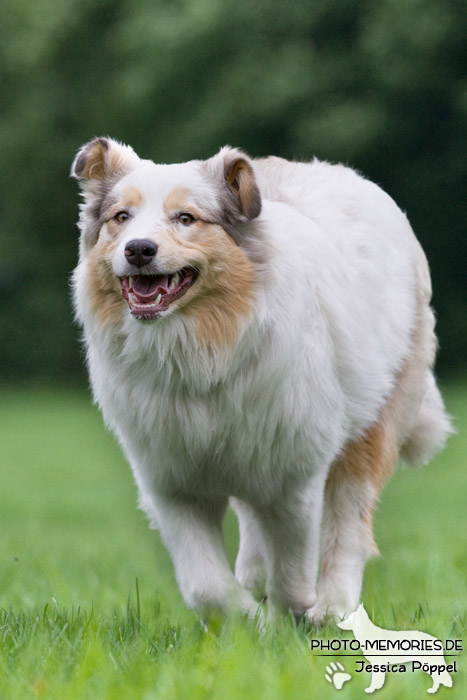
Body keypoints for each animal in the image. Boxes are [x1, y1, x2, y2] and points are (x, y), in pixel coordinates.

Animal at [70, 138, 454, 624]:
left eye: (186, 218)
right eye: (121, 218)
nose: (139, 249)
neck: (198, 350)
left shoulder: (292, 478)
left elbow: (291, 571)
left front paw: (288, 618)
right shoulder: (172, 482)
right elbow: (205, 585)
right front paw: (247, 617)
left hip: (370, 428)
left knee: (348, 526)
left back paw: (333, 609)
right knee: (254, 527)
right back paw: (254, 580)